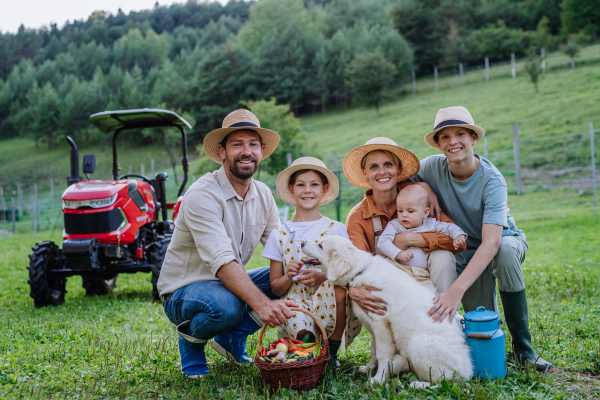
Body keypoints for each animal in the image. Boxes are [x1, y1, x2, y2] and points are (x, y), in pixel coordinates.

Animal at [300, 236, 474, 386]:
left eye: (320, 245)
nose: (301, 243)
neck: (360, 271)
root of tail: (468, 371)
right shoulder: (374, 328)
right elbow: (374, 350)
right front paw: (369, 368)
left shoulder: (381, 325)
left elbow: (383, 354)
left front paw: (378, 379)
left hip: (417, 345)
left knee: (446, 381)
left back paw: (418, 384)